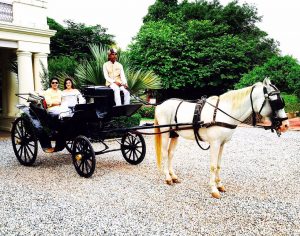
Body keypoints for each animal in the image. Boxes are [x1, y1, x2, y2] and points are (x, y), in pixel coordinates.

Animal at [154, 78, 290, 198]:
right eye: (276, 101)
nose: (286, 125)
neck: (222, 112)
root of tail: (160, 105)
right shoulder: (215, 143)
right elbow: (213, 166)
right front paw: (213, 189)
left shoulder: (222, 143)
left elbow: (219, 165)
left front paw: (219, 185)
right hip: (165, 134)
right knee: (165, 153)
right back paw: (167, 178)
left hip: (174, 134)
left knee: (171, 154)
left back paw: (173, 176)